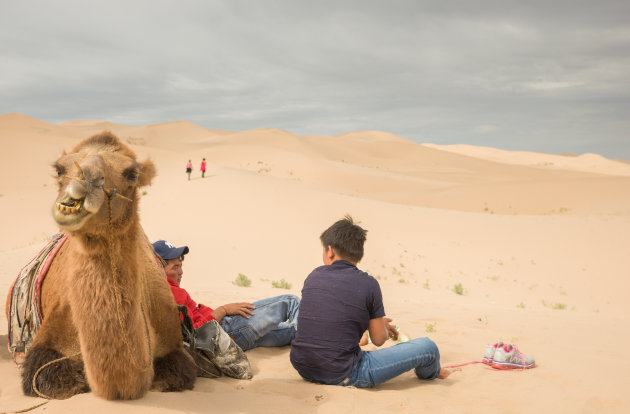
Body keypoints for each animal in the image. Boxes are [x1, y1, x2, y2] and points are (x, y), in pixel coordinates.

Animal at [9, 131, 196, 400]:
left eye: (132, 173)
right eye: (59, 169)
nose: (79, 191)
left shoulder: (174, 344)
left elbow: (175, 373)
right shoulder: (47, 344)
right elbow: (48, 378)